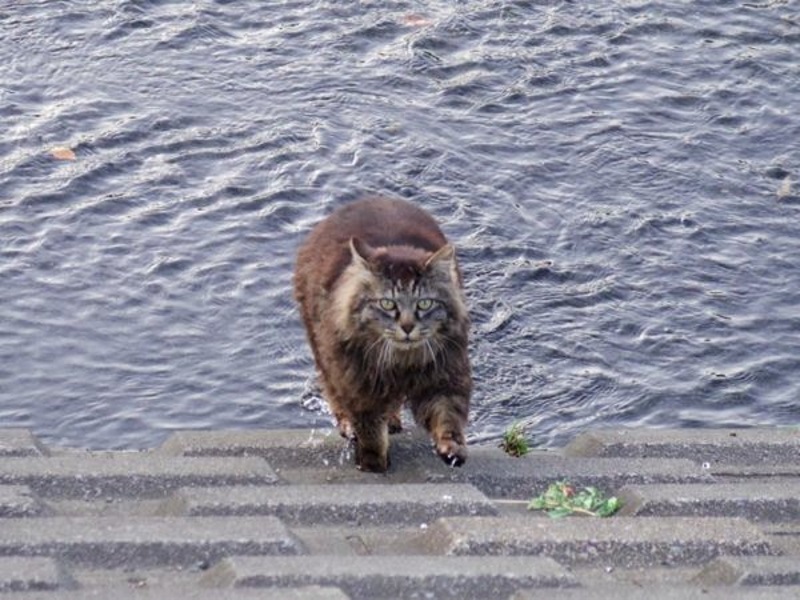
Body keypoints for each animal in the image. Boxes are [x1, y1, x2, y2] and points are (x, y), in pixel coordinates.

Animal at [292, 195, 468, 472]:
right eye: (387, 304)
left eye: (424, 304)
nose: (407, 327)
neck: (402, 362)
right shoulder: (359, 386)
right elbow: (371, 430)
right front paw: (374, 462)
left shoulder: (446, 373)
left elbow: (446, 415)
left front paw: (451, 449)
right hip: (323, 353)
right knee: (335, 397)